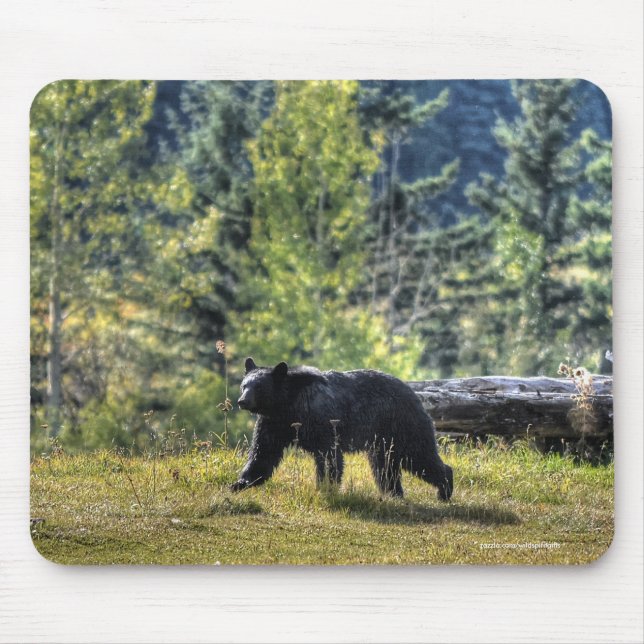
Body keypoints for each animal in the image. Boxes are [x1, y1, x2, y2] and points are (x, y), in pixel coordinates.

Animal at [231, 358, 453, 501]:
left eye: (259, 387)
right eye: (244, 385)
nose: (242, 401)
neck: (287, 405)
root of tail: (414, 394)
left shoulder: (320, 420)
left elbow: (329, 456)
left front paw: (326, 487)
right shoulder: (274, 424)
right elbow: (263, 453)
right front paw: (240, 483)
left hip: (402, 426)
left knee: (419, 456)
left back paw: (444, 489)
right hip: (383, 440)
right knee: (385, 467)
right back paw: (393, 493)